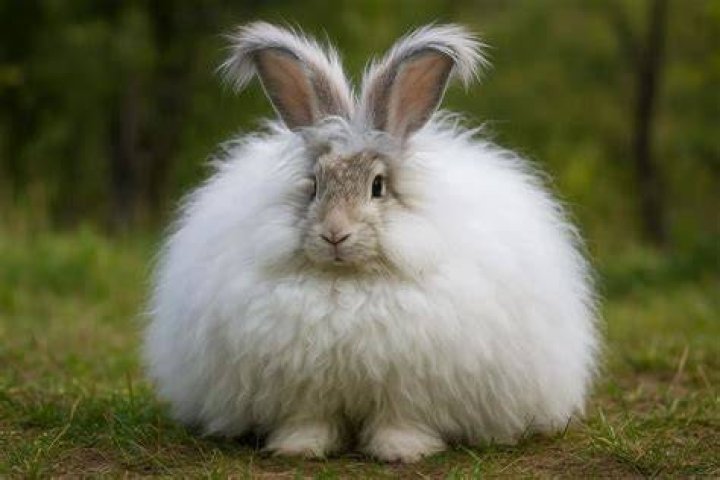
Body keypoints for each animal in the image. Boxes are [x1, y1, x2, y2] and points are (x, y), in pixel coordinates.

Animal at [143, 22, 600, 463]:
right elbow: (309, 420)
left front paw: (401, 452)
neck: (347, 283)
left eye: (377, 187)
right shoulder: (305, 389)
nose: (334, 233)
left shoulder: (407, 386)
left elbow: (400, 420)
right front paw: (299, 449)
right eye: (314, 186)